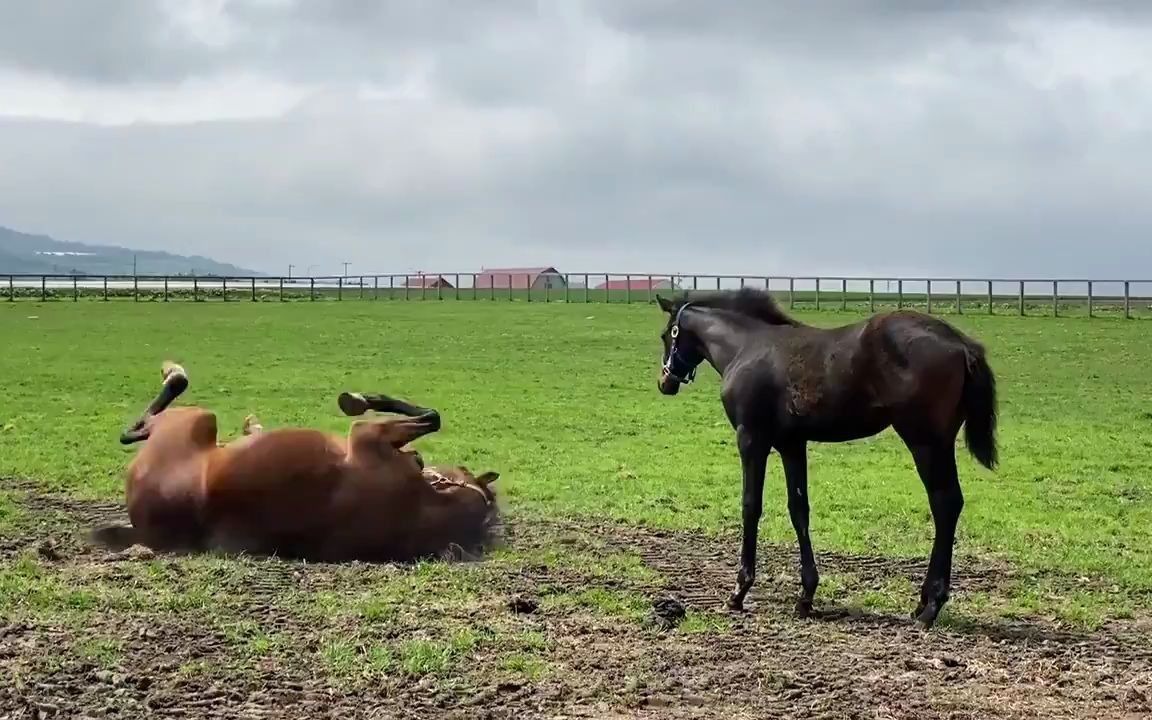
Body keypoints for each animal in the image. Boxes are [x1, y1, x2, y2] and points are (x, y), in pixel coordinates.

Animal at [91, 359, 499, 562]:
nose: (422, 462)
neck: (423, 505)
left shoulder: (366, 434)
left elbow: (432, 416)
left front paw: (355, 399)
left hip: (195, 418)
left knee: (143, 423)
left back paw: (174, 373)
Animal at [658, 288, 999, 626]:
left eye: (666, 335)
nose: (665, 382)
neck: (745, 346)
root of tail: (962, 344)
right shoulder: (792, 444)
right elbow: (799, 509)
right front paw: (806, 596)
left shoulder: (751, 438)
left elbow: (750, 506)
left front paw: (740, 591)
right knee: (949, 504)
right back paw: (923, 603)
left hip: (925, 441)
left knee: (945, 503)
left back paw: (930, 607)